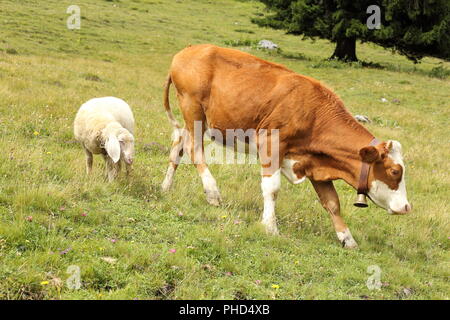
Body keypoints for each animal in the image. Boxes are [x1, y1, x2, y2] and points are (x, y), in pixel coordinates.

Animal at [162, 44, 412, 248]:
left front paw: (347, 238)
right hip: (193, 111)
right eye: (394, 171)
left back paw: (165, 187)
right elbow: (271, 188)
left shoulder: (316, 162)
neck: (314, 114)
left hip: (193, 120)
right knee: (194, 149)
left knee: (178, 146)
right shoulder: (271, 144)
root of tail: (188, 50)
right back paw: (212, 192)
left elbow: (332, 202)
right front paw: (270, 226)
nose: (407, 207)